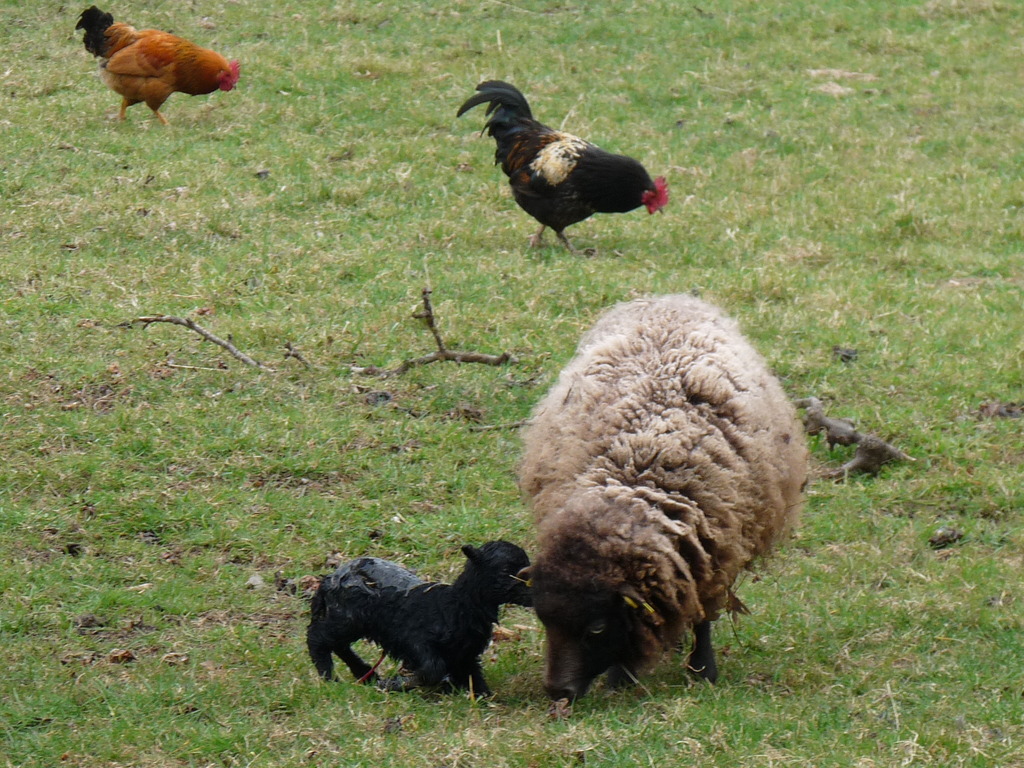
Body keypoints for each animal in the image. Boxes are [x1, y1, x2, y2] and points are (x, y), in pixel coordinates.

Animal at [305, 540, 532, 696]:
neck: (456, 605)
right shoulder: (416, 640)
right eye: (505, 570)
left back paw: (365, 673)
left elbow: (473, 676)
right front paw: (396, 684)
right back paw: (329, 676)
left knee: (339, 645)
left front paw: (484, 696)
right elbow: (433, 669)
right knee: (317, 638)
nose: (534, 592)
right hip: (347, 617)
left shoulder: (465, 653)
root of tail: (330, 579)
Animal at [520, 296, 806, 704]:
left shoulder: (713, 555)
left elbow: (703, 617)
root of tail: (669, 297)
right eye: (543, 619)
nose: (559, 690)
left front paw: (702, 671)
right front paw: (622, 676)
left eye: (596, 628)